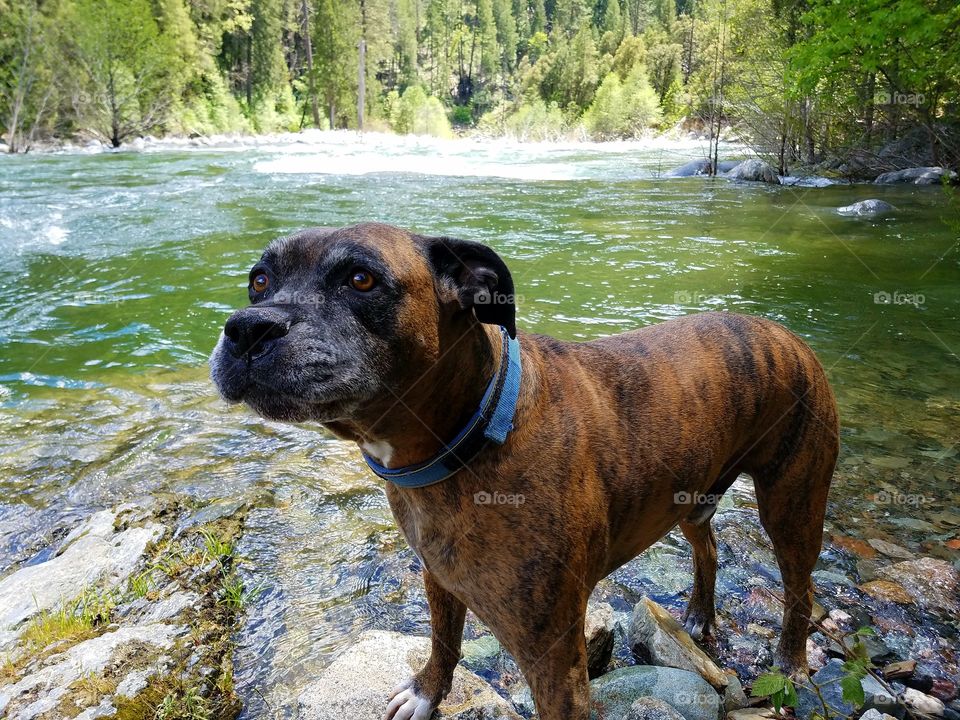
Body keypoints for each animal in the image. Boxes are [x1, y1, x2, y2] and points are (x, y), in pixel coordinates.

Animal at [208, 222, 832, 720]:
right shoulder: (439, 575)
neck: (471, 434)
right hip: (690, 496)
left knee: (799, 587)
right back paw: (701, 614)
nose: (247, 327)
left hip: (793, 504)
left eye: (360, 280)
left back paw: (792, 663)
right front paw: (427, 692)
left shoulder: (553, 660)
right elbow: (444, 643)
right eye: (259, 281)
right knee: (708, 547)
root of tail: (785, 333)